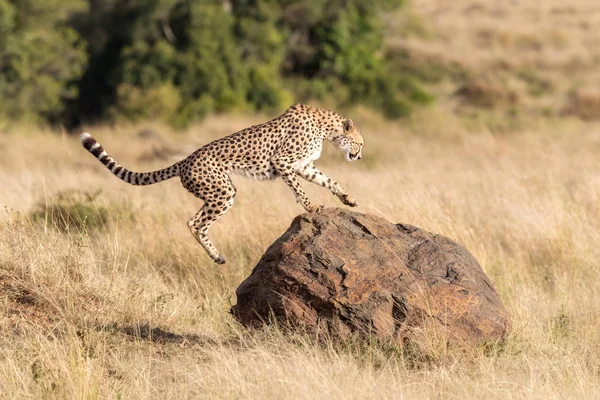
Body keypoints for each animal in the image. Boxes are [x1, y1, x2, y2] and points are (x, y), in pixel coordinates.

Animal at [78, 104, 360, 264]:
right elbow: (300, 190)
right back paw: (216, 256)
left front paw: (347, 198)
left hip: (220, 192)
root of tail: (185, 159)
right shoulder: (282, 161)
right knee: (194, 223)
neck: (327, 128)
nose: (358, 156)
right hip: (223, 191)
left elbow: (328, 180)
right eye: (358, 143)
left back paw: (217, 256)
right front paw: (312, 208)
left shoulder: (303, 166)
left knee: (197, 222)